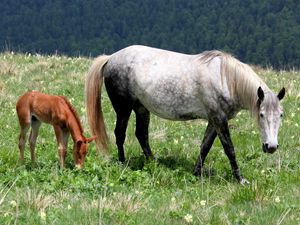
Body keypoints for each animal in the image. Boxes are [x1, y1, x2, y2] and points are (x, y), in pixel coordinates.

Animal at [85, 44, 286, 184]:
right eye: (261, 114)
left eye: (281, 115)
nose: (271, 146)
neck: (226, 79)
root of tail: (110, 58)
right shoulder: (219, 119)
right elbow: (229, 149)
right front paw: (240, 179)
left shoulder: (214, 120)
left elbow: (205, 146)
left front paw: (197, 173)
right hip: (124, 108)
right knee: (120, 133)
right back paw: (122, 163)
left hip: (141, 108)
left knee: (141, 134)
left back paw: (154, 163)